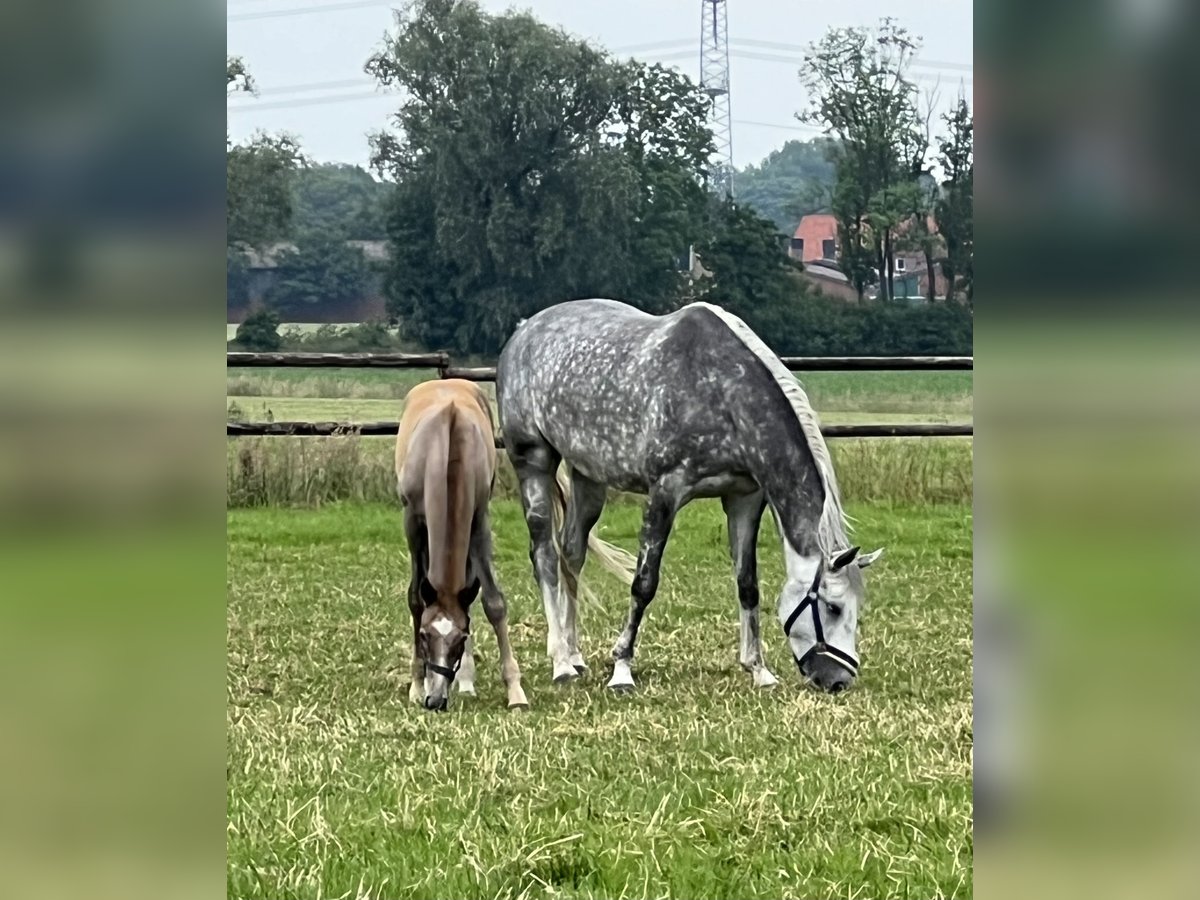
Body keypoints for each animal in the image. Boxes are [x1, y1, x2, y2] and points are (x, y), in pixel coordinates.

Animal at [496, 303, 883, 696]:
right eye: (834, 608)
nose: (839, 681)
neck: (722, 393)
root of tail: (524, 330)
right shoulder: (665, 492)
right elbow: (643, 584)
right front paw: (622, 670)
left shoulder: (744, 498)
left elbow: (748, 585)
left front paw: (758, 670)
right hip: (533, 462)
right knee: (545, 556)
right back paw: (561, 662)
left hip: (588, 477)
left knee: (572, 554)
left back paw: (574, 655)